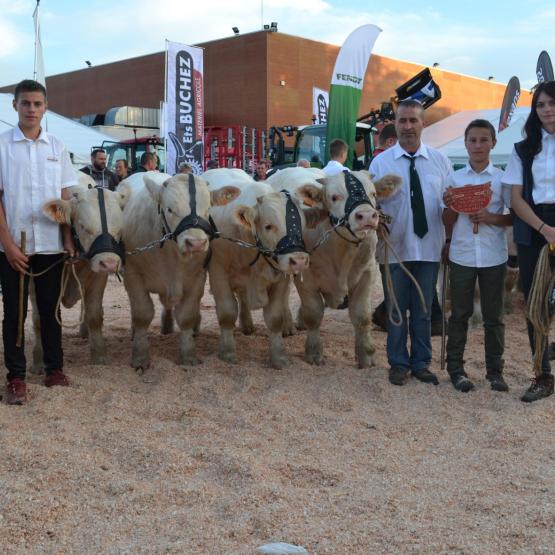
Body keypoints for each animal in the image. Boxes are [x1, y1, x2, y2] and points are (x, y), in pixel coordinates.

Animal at [119, 172, 239, 372]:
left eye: (208, 208)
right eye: (170, 209)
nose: (196, 243)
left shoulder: (197, 278)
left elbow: (186, 316)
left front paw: (188, 354)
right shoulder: (133, 275)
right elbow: (142, 314)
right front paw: (140, 356)